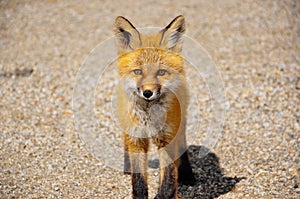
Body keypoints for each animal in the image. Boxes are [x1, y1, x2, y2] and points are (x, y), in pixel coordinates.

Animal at [113, 15, 196, 199]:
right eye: (138, 72)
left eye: (161, 72)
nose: (148, 92)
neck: (148, 116)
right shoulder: (137, 139)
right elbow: (138, 181)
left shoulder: (167, 138)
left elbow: (169, 178)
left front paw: (165, 194)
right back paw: (127, 167)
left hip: (180, 124)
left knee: (183, 145)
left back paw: (187, 174)